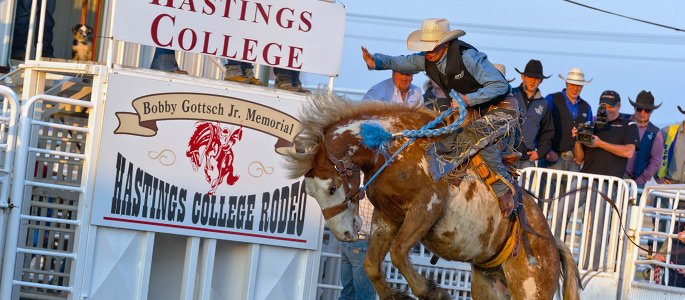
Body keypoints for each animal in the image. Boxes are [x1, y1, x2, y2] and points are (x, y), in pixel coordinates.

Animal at [282, 94, 576, 300]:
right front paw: (395, 294)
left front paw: (433, 291)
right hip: (489, 286)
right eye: (310, 193)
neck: (392, 148)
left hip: (531, 290)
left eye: (332, 188)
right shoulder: (386, 217)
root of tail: (552, 244)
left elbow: (399, 252)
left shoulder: (427, 207)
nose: (343, 233)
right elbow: (371, 263)